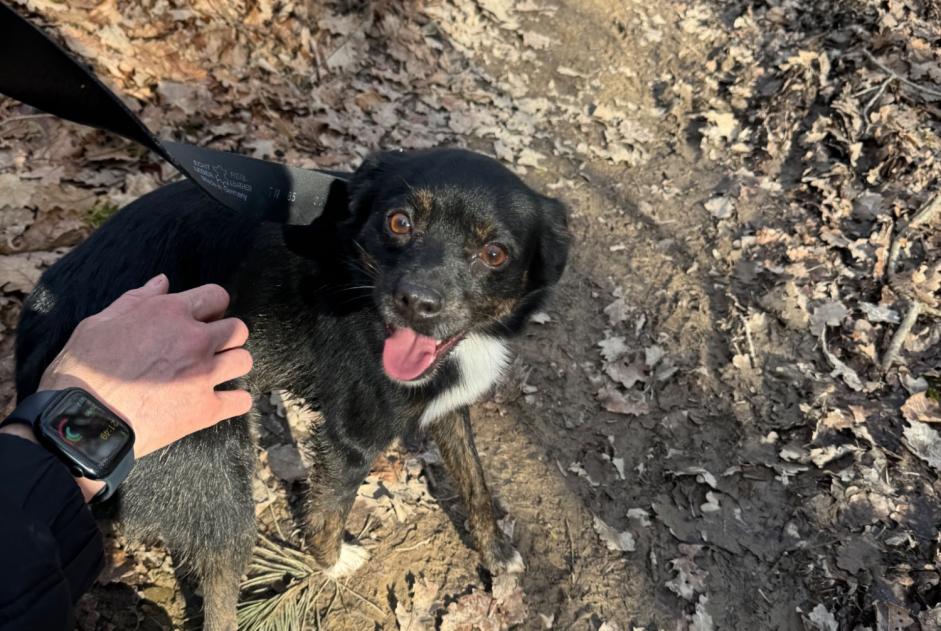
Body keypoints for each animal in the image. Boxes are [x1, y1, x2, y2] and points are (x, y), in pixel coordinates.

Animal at [14, 149, 568, 631]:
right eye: (399, 222)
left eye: (494, 253)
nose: (416, 302)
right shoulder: (353, 437)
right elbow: (329, 509)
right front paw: (331, 561)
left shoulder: (449, 407)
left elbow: (475, 482)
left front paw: (496, 552)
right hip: (220, 481)